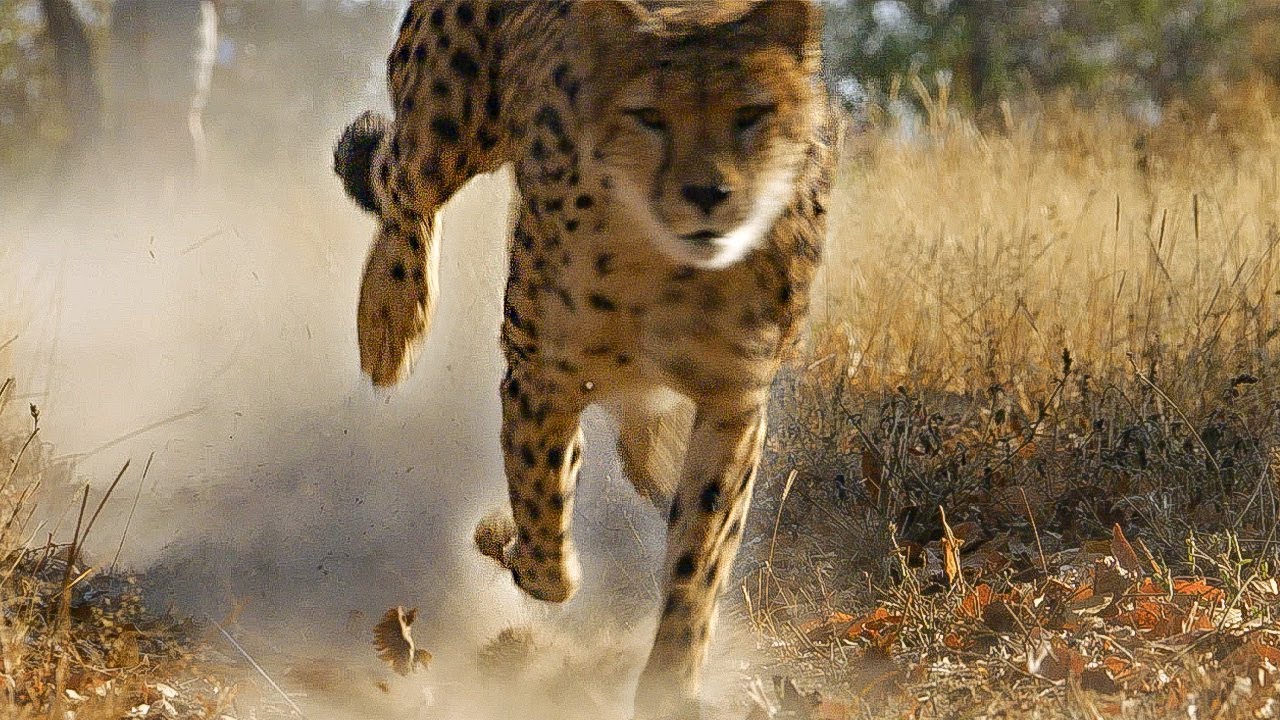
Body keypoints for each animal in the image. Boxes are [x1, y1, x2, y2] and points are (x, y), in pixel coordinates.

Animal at [333, 1, 837, 717]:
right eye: (649, 116)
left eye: (752, 114)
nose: (707, 194)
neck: (671, 267)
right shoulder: (542, 376)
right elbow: (545, 530)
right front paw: (505, 539)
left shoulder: (733, 401)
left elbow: (700, 554)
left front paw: (672, 686)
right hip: (451, 118)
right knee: (401, 181)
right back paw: (387, 322)